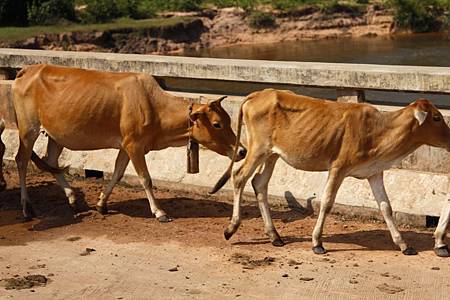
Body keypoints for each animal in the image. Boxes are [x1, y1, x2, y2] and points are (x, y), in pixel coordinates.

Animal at [13, 63, 246, 220]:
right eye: (217, 124)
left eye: (228, 120)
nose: (242, 150)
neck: (153, 106)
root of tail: (28, 70)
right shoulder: (134, 145)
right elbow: (145, 178)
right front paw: (159, 211)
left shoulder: (126, 146)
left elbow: (117, 173)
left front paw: (101, 203)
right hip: (28, 129)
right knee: (21, 161)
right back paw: (26, 207)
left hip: (56, 135)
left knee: (51, 162)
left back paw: (72, 199)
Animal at [211, 89, 450, 255]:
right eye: (436, 118)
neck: (378, 130)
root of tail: (259, 93)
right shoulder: (338, 168)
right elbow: (326, 202)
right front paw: (317, 242)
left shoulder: (374, 172)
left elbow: (386, 207)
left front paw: (403, 244)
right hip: (258, 149)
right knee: (239, 177)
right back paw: (231, 228)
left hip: (272, 155)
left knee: (259, 183)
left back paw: (274, 236)